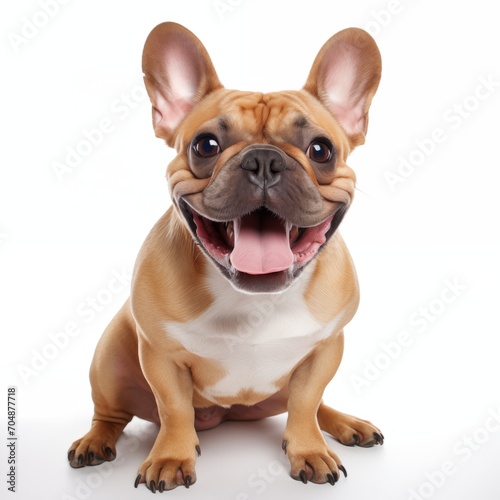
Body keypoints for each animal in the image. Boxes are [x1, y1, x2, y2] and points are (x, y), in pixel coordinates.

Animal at [66, 21, 382, 490]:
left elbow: (307, 403)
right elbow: (174, 408)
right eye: (206, 145)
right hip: (109, 359)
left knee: (312, 405)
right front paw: (171, 457)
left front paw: (308, 449)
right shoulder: (160, 356)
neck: (254, 299)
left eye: (321, 150)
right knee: (110, 413)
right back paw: (95, 440)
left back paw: (346, 424)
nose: (264, 160)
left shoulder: (325, 348)